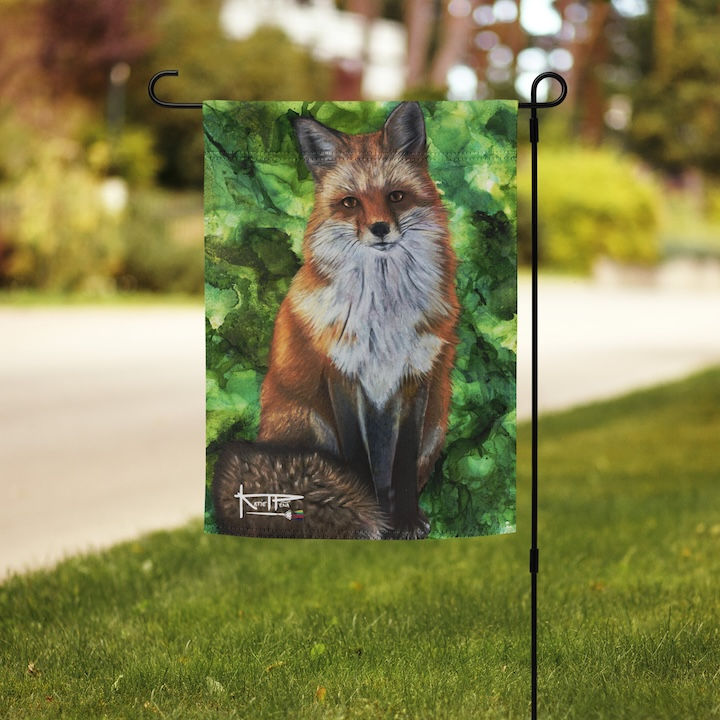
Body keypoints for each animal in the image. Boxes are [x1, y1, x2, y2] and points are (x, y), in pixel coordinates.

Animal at [212, 101, 459, 539]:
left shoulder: (417, 376)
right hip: (311, 422)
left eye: (396, 196)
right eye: (350, 203)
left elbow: (403, 464)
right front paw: (375, 515)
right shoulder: (341, 373)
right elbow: (357, 459)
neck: (383, 310)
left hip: (436, 422)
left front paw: (405, 519)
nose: (380, 229)